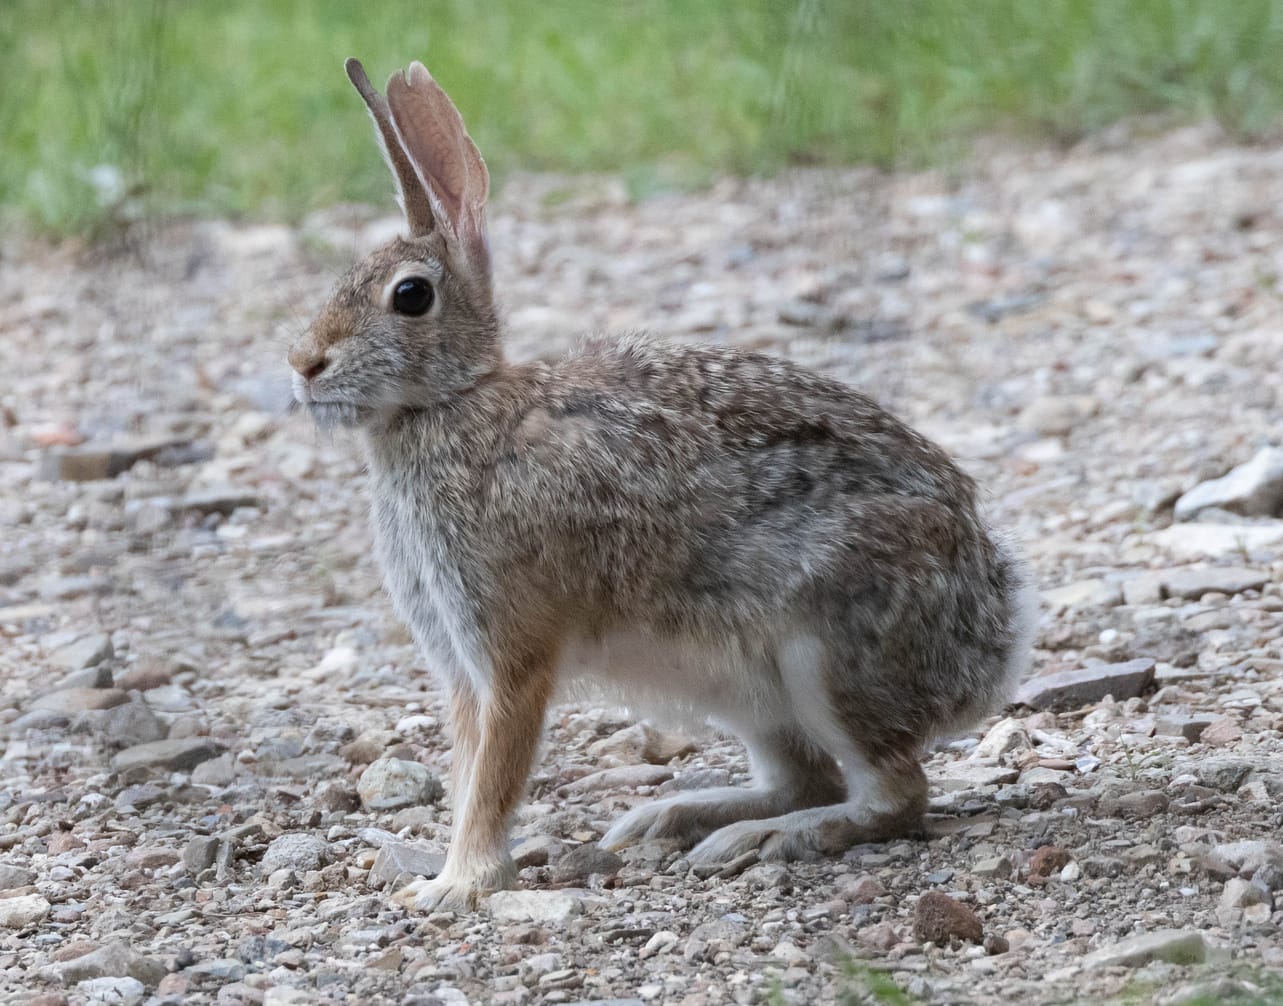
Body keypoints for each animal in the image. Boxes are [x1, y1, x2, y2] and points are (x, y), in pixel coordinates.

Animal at [289, 58, 1039, 913]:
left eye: (409, 295)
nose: (302, 364)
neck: (454, 405)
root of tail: (993, 634)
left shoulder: (511, 649)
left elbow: (493, 774)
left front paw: (456, 885)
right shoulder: (456, 662)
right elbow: (465, 768)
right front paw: (447, 872)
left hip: (826, 654)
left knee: (894, 794)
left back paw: (763, 839)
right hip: (743, 687)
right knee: (806, 777)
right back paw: (670, 818)